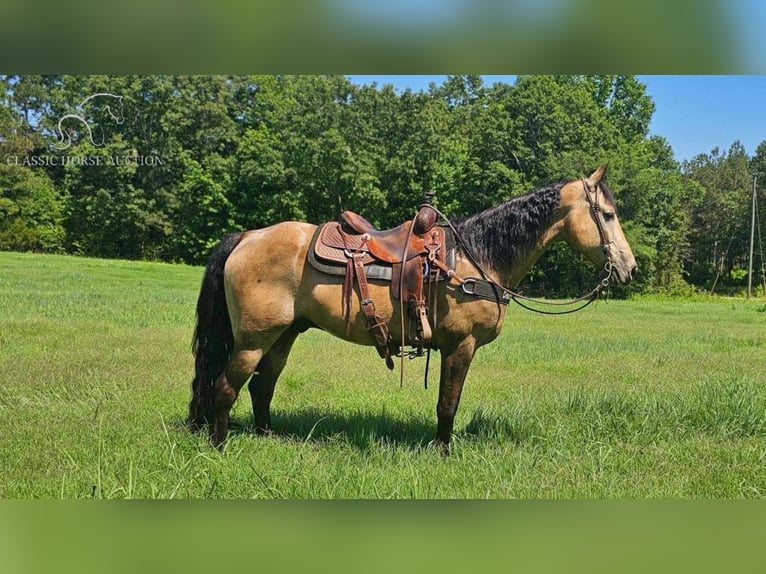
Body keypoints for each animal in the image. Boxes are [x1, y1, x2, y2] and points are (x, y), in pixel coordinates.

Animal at [189, 164, 640, 452]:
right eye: (607, 214)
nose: (630, 268)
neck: (475, 257)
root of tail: (247, 236)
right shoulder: (460, 345)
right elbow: (447, 403)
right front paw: (443, 452)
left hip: (283, 334)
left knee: (262, 385)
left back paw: (267, 437)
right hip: (253, 338)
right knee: (225, 386)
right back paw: (219, 447)